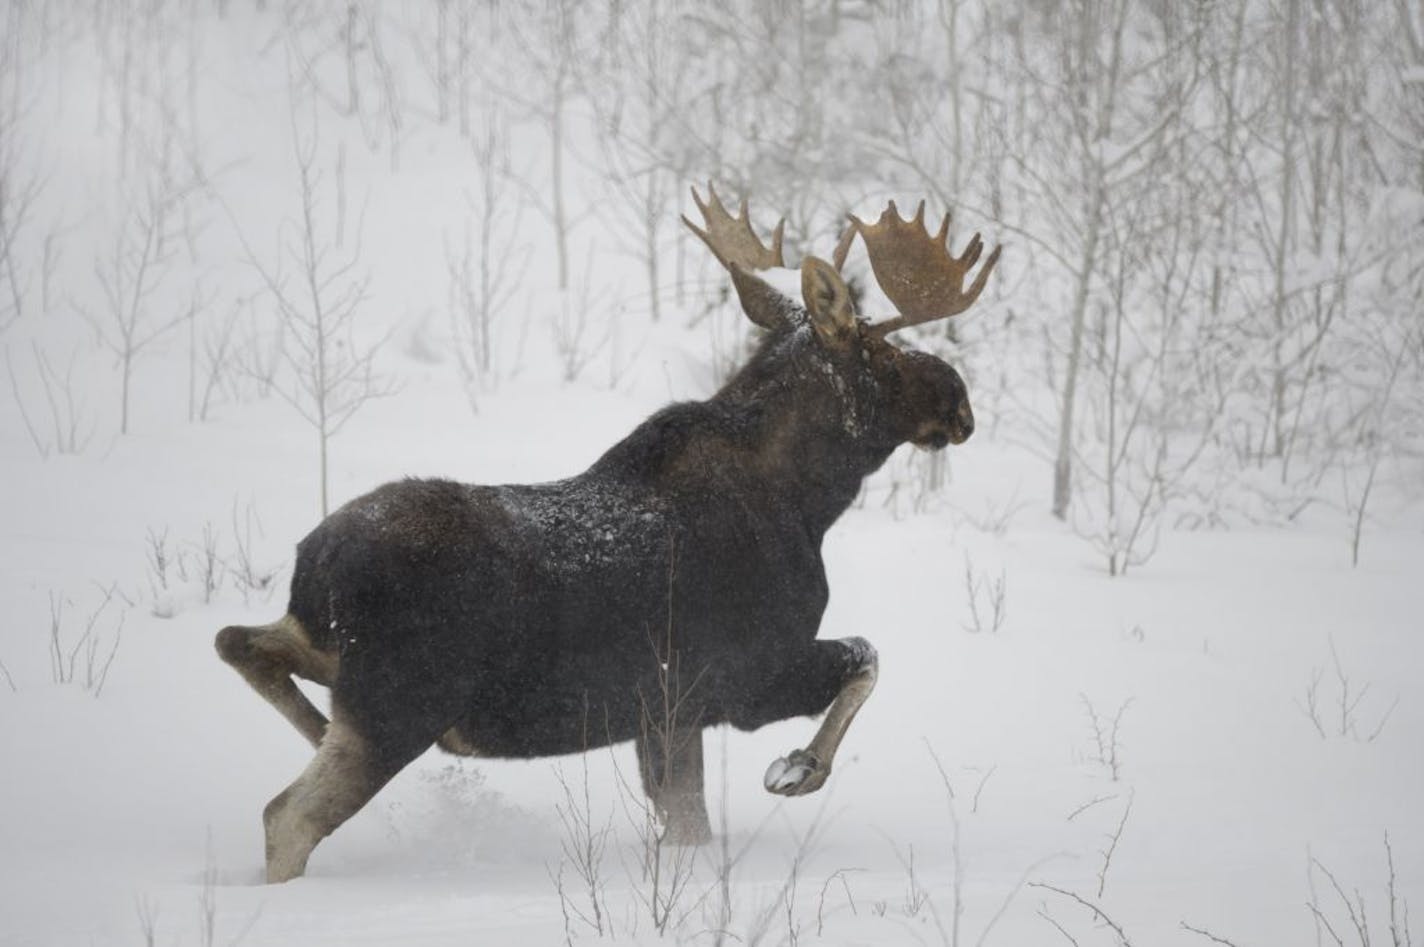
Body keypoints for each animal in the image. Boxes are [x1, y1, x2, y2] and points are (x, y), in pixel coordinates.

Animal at [219, 185, 1002, 877]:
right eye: (883, 352)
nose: (960, 400)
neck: (810, 504)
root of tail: (315, 563)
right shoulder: (745, 677)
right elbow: (867, 656)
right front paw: (797, 768)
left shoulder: (667, 713)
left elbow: (686, 820)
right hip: (400, 702)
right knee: (286, 815)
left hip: (336, 658)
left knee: (238, 643)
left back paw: (312, 724)